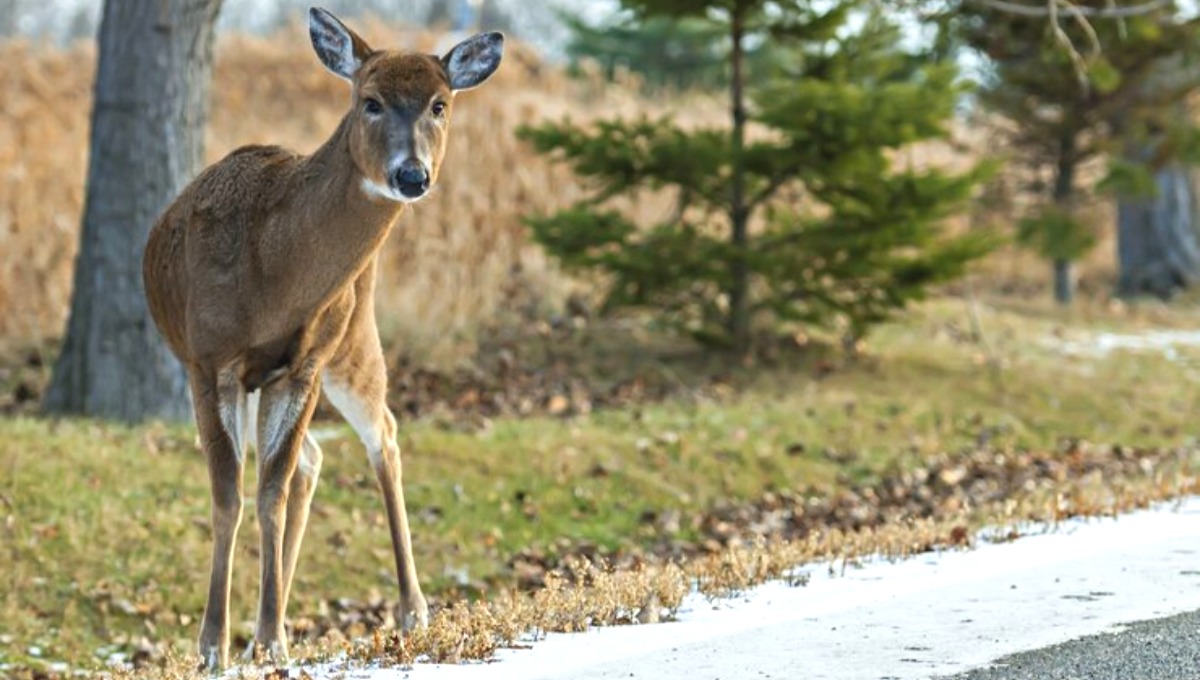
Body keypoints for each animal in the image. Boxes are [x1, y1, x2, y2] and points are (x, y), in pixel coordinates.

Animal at [142, 6, 504, 671]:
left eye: (440, 103)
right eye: (370, 101)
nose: (412, 174)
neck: (271, 273)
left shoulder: (305, 363)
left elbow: (269, 490)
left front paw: (268, 637)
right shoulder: (209, 362)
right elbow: (231, 493)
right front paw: (215, 645)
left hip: (353, 340)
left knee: (378, 435)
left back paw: (412, 611)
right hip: (267, 375)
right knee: (312, 459)